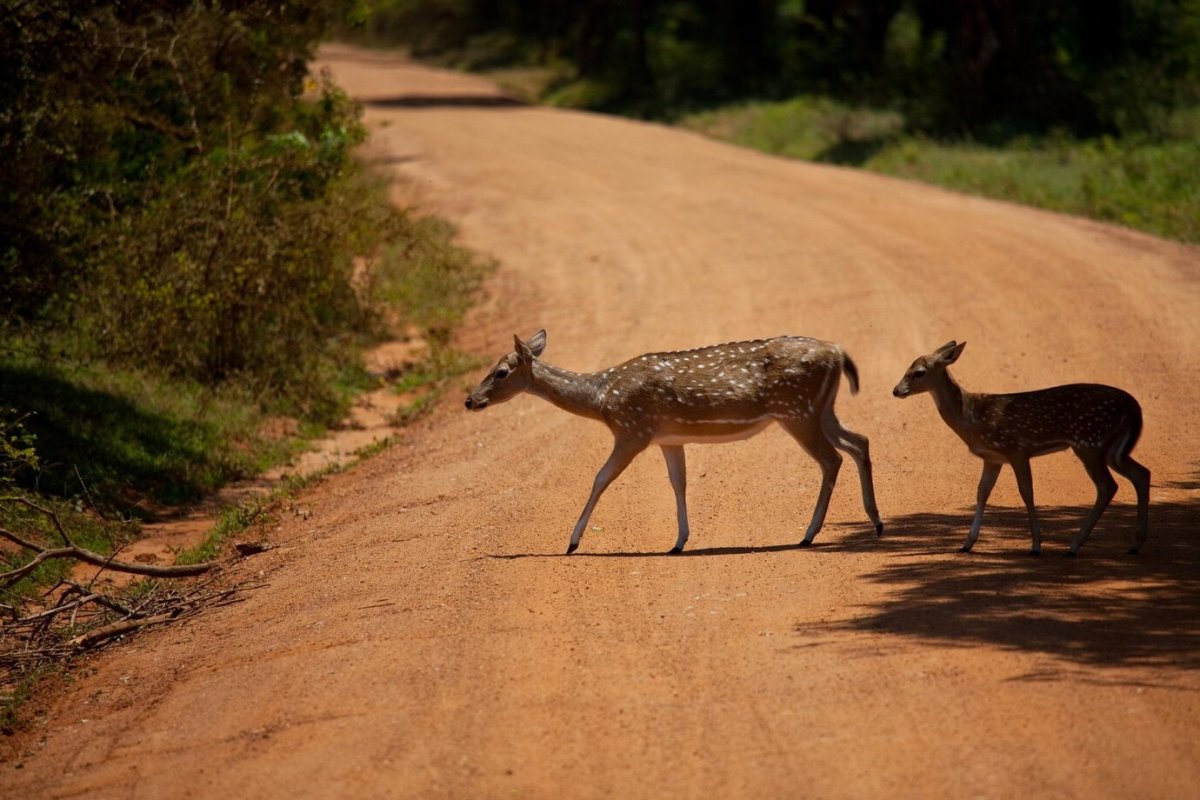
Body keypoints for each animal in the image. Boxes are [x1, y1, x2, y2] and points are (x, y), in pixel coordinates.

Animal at [465, 328, 883, 554]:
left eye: (500, 372)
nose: (470, 400)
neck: (602, 399)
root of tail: (839, 353)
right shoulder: (668, 439)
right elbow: (678, 483)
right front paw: (679, 541)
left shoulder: (633, 430)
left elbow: (600, 478)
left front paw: (571, 542)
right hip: (819, 409)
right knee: (859, 442)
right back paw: (875, 523)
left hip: (796, 411)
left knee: (831, 458)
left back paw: (809, 534)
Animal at [897, 343, 1147, 556]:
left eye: (918, 372)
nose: (895, 390)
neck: (971, 416)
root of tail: (1134, 406)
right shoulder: (993, 457)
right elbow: (982, 492)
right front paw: (967, 543)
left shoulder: (1017, 449)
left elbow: (1026, 492)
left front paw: (1036, 545)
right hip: (1112, 450)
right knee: (1141, 474)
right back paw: (1135, 545)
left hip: (1090, 442)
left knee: (1107, 486)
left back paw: (1074, 546)